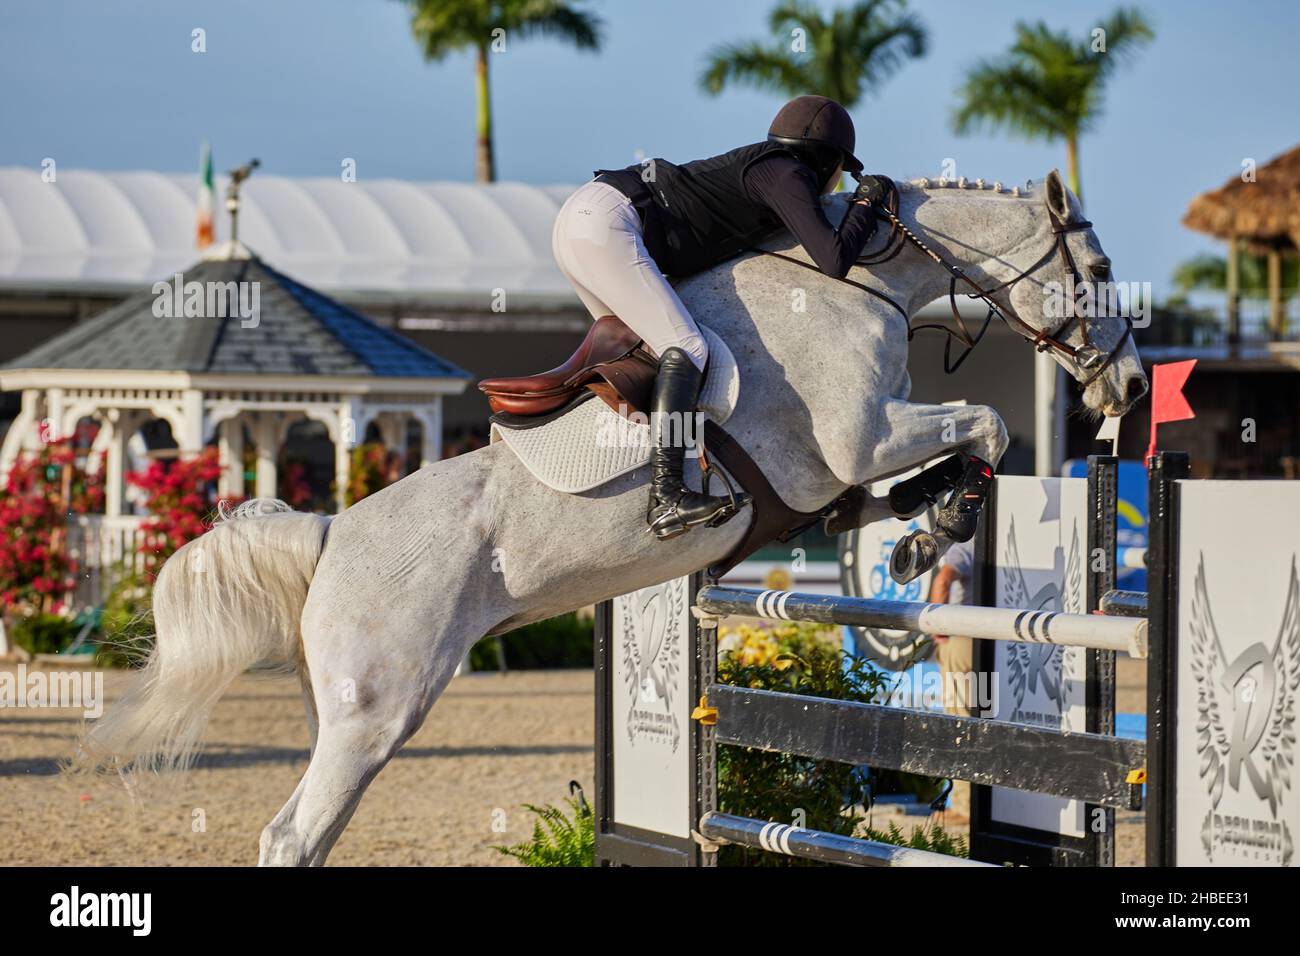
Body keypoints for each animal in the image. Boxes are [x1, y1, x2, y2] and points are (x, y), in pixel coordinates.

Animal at [76, 170, 1144, 868]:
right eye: (1095, 264)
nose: (1131, 386)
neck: (856, 283)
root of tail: (330, 533)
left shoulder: (842, 475)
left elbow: (924, 471)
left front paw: (923, 527)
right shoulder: (860, 438)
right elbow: (988, 420)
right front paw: (941, 522)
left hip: (346, 713)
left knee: (308, 832)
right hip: (378, 710)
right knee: (294, 833)